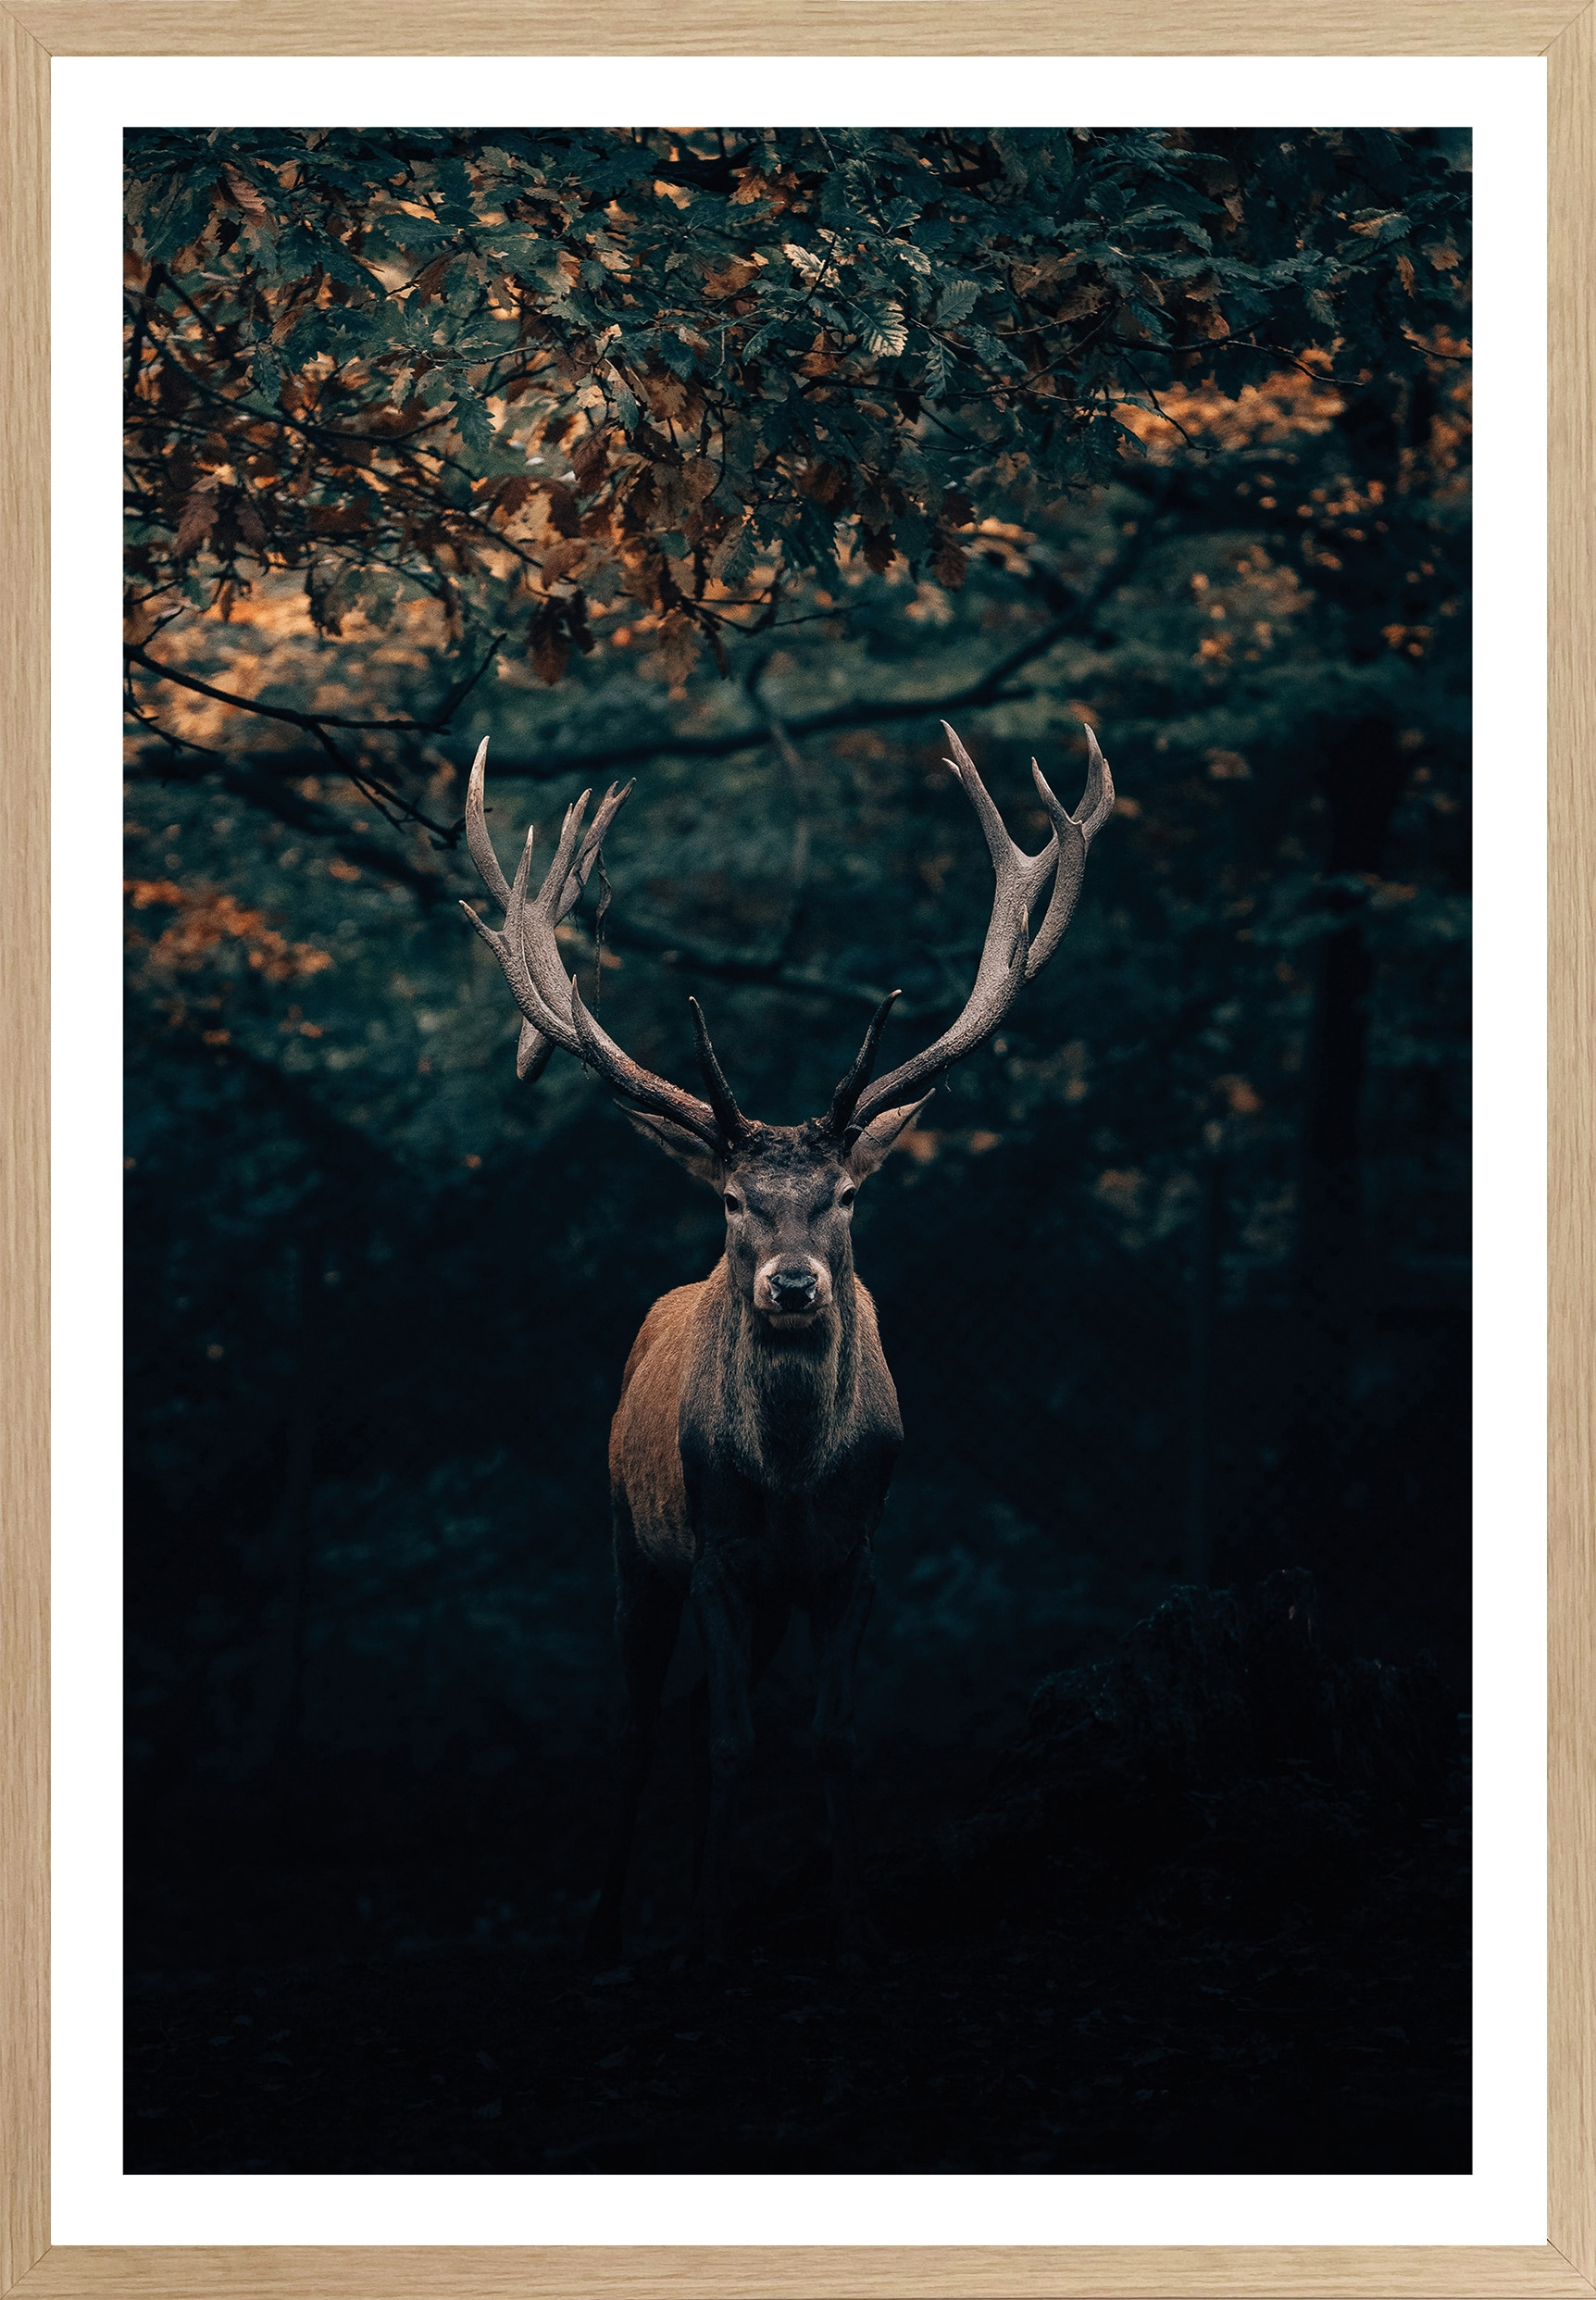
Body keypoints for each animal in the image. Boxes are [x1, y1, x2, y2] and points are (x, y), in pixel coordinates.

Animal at [458, 720, 1113, 1966]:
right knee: (642, 1723)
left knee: (702, 1712)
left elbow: (826, 1736)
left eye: (846, 1196)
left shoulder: (855, 1558)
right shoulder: (716, 1551)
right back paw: (609, 1928)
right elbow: (726, 1741)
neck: (797, 1476)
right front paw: (706, 1931)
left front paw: (853, 1923)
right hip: (630, 1544)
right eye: (730, 1200)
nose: (793, 1285)